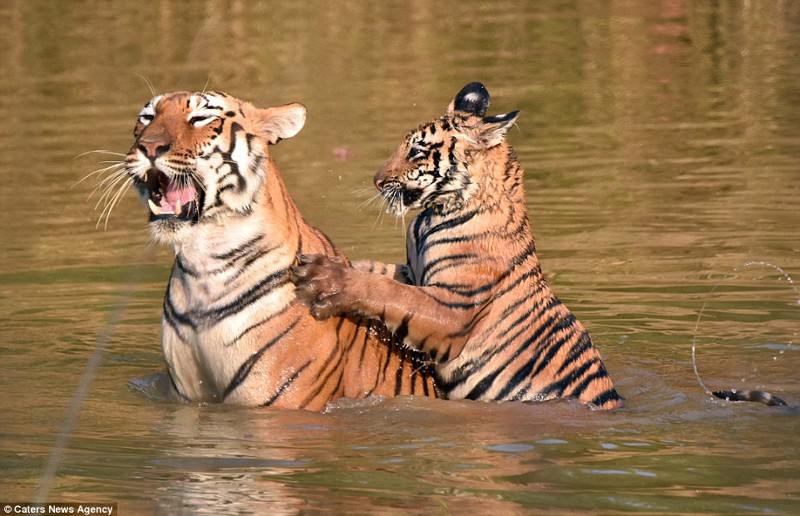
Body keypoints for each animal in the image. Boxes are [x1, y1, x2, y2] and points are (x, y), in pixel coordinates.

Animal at [294, 82, 624, 410]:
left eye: (416, 151)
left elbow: (390, 292)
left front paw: (327, 278)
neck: (433, 215)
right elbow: (378, 270)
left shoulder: (453, 307)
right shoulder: (412, 272)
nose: (377, 181)